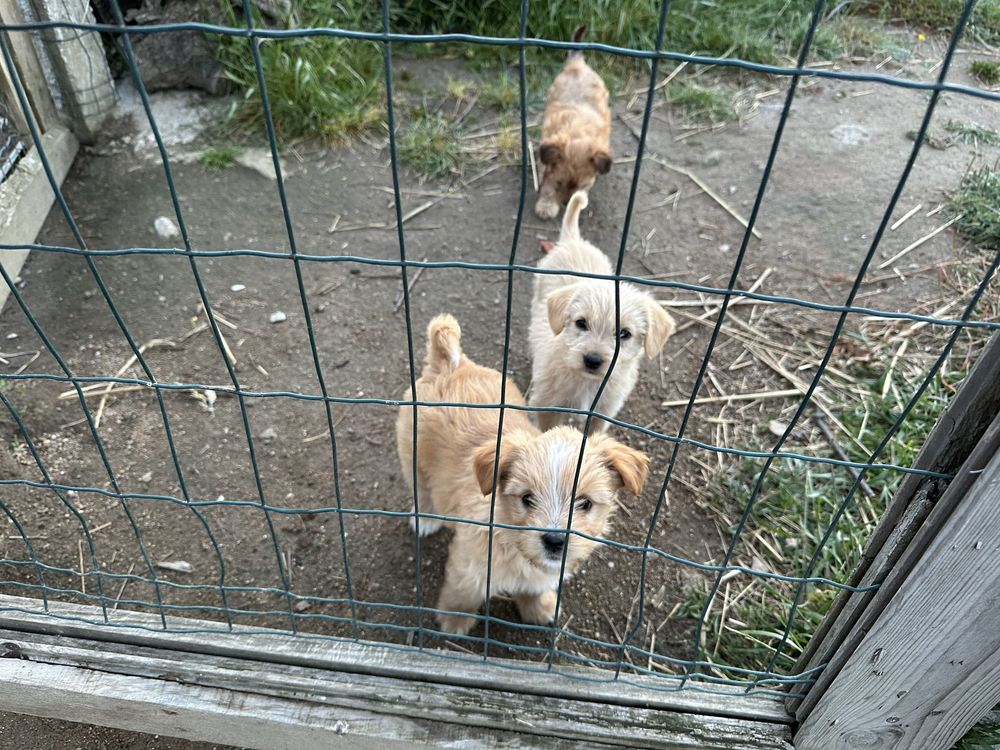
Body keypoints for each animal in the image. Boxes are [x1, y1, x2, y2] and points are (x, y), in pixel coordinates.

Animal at [396, 314, 648, 636]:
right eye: (527, 499)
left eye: (585, 503)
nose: (555, 541)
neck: (511, 540)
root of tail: (452, 363)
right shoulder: (470, 567)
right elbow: (462, 594)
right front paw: (454, 622)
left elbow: (534, 588)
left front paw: (538, 608)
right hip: (412, 455)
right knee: (422, 488)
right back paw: (425, 519)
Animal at [528, 191, 676, 432]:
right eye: (581, 323)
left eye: (625, 333)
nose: (593, 360)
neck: (587, 382)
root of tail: (573, 240)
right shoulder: (547, 406)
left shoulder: (602, 413)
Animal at [536, 25, 612, 220]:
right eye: (559, 183)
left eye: (580, 186)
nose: (565, 203)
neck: (577, 130)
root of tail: (577, 64)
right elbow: (547, 184)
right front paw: (546, 205)